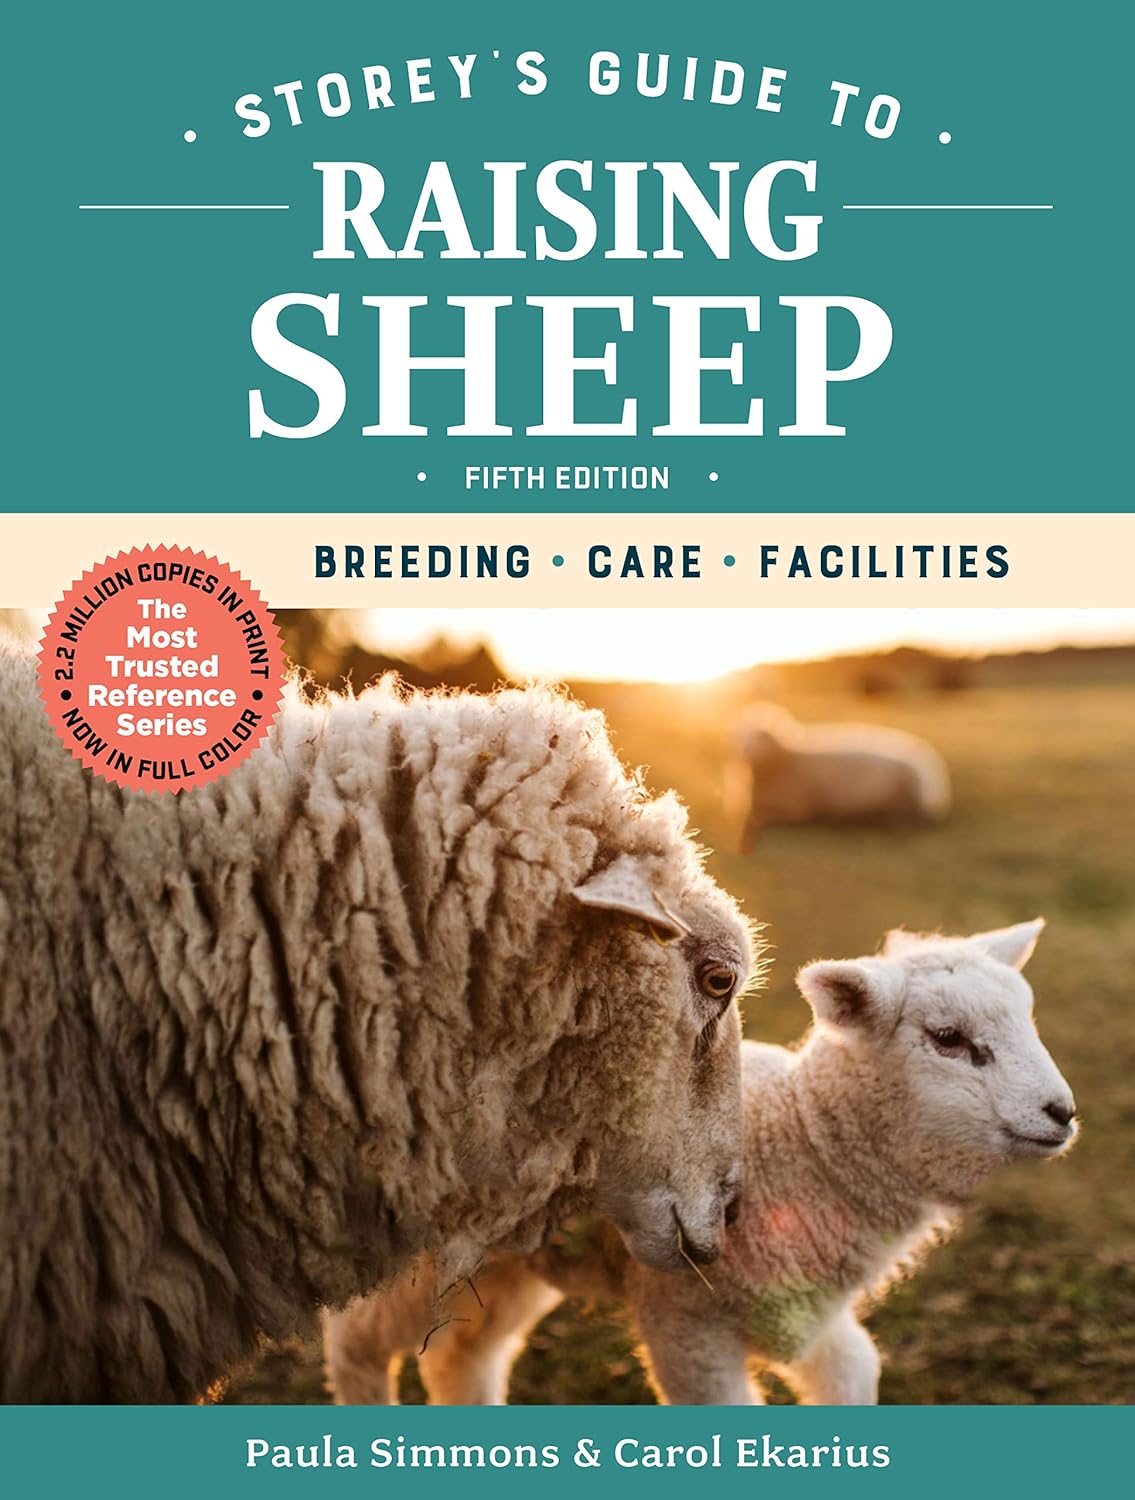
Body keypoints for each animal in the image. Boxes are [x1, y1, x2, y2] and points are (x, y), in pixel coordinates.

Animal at [326, 919, 1076, 1405]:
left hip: (509, 1263)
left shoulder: (809, 1314)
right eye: (947, 1038)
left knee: (461, 1360)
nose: (1061, 1113)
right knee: (358, 1343)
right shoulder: (686, 1321)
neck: (798, 1143)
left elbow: (854, 1373)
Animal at [728, 702, 950, 851]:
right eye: (740, 735)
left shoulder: (798, 809)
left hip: (899, 800)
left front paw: (746, 839)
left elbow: (760, 818)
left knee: (904, 820)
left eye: (759, 736)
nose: (743, 752)